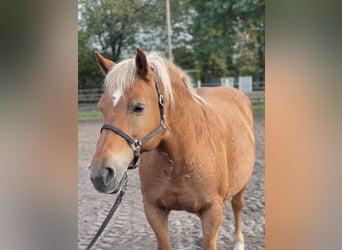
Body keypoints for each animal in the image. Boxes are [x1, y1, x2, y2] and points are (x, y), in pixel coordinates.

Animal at [89, 48, 255, 250]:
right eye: (101, 108)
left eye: (139, 107)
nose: (100, 174)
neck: (181, 159)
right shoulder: (154, 209)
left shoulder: (212, 211)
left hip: (241, 185)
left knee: (238, 207)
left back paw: (238, 241)